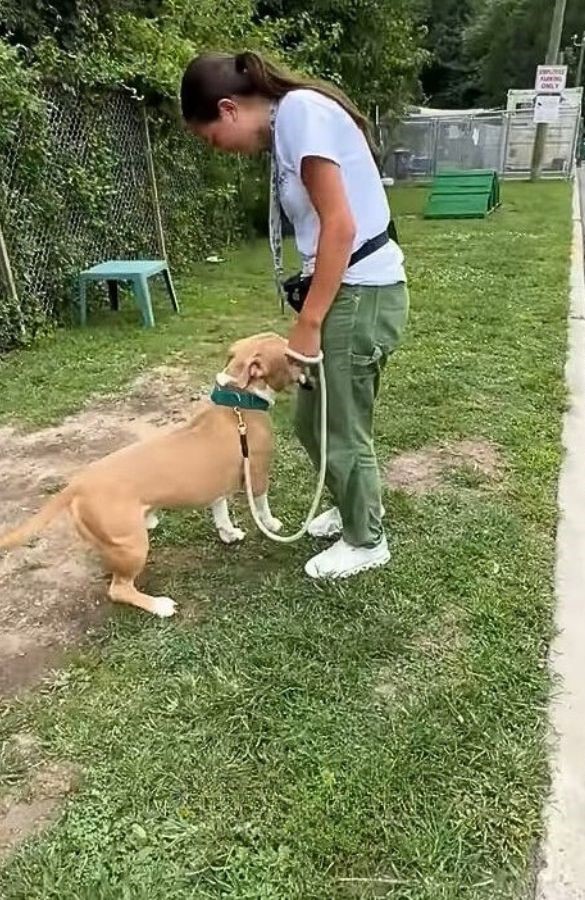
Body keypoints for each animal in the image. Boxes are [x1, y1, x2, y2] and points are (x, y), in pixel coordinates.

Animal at [0, 334, 298, 616]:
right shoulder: (257, 474)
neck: (238, 401)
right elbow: (261, 504)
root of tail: (77, 485)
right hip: (133, 546)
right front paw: (271, 524)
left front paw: (229, 533)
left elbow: (220, 511)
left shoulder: (216, 485)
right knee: (119, 589)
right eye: (289, 353)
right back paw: (160, 606)